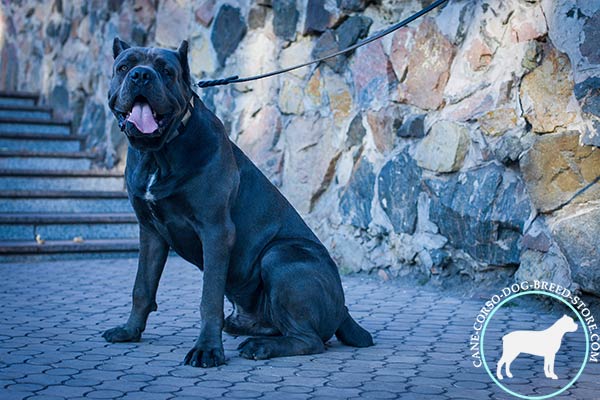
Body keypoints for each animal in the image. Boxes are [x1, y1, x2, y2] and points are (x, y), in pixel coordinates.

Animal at [103, 39, 376, 368]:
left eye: (166, 71)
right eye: (124, 66)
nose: (141, 75)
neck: (158, 154)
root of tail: (344, 308)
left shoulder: (215, 231)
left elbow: (209, 298)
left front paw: (207, 349)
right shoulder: (151, 232)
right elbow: (142, 287)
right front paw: (130, 331)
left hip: (280, 256)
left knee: (309, 340)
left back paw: (260, 347)